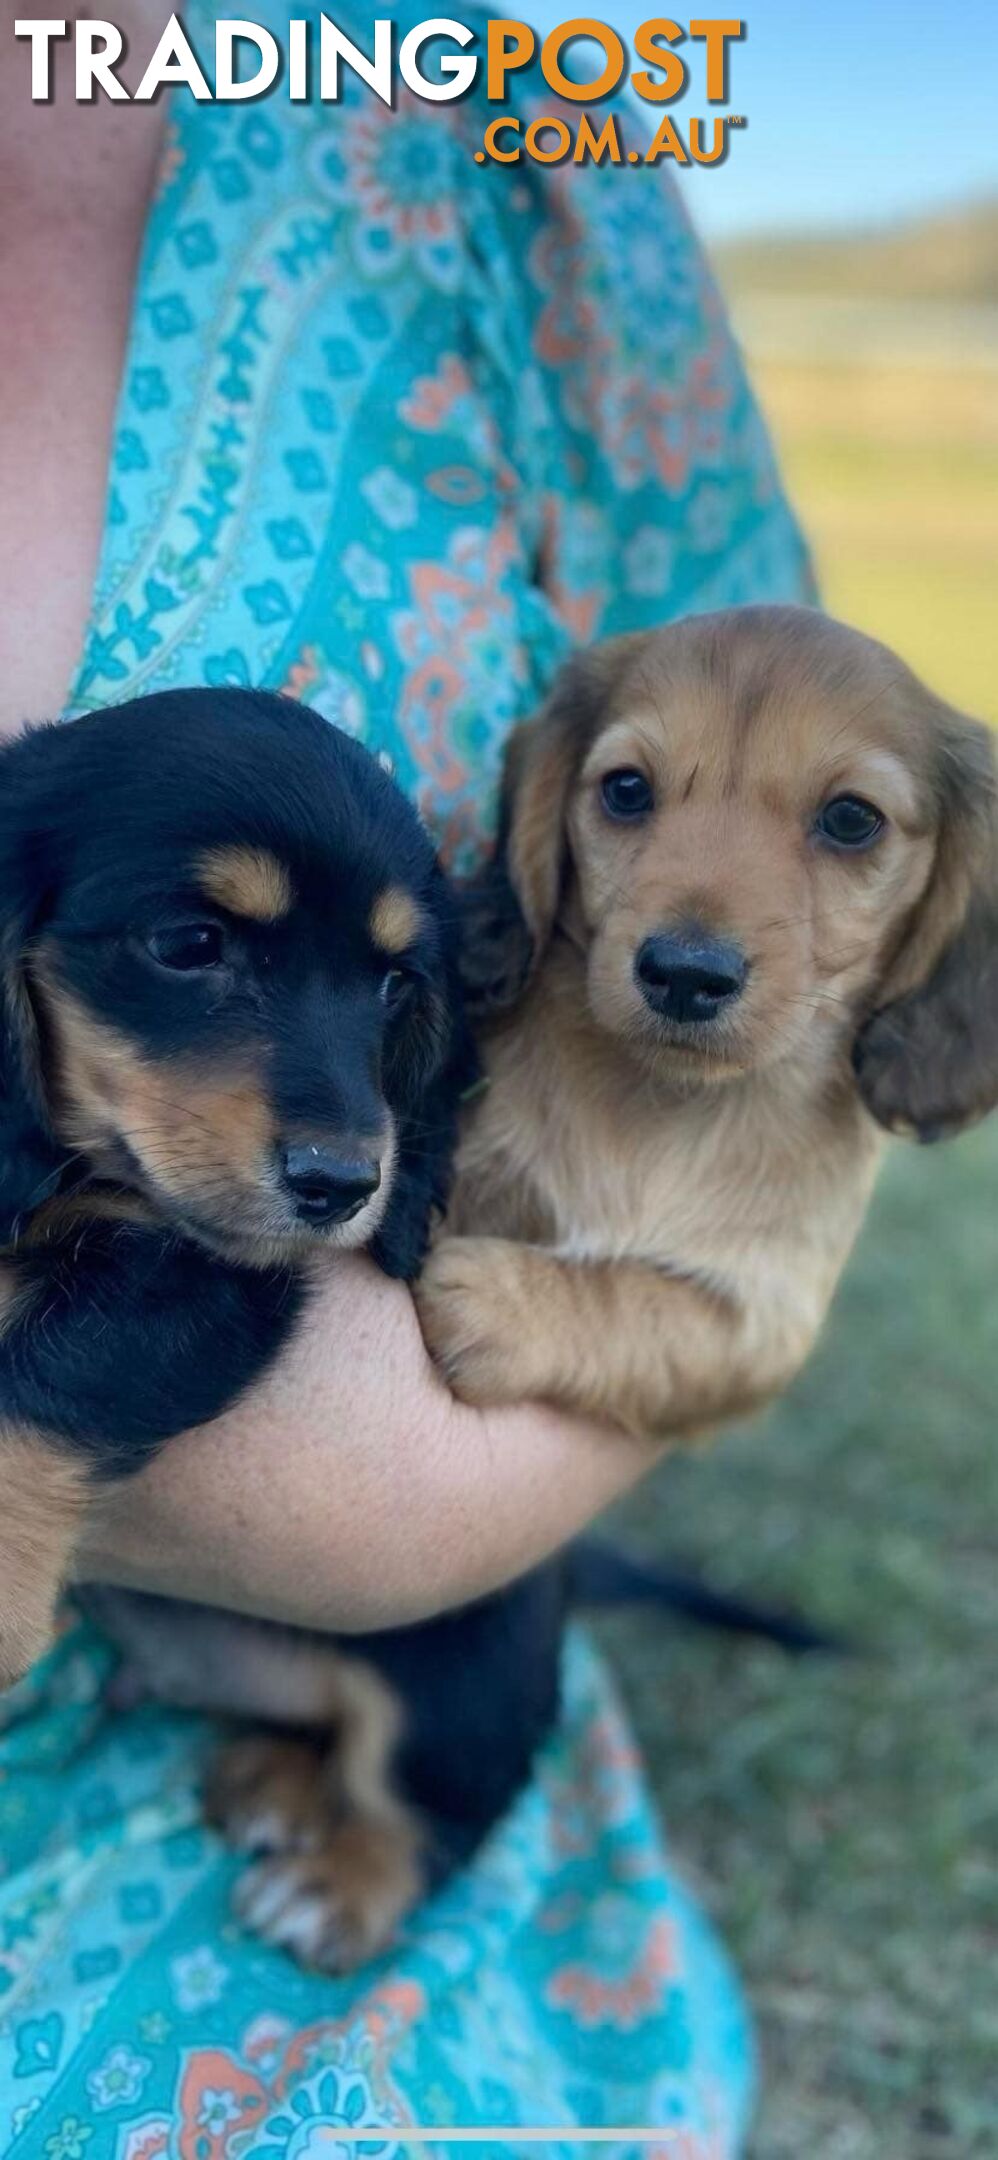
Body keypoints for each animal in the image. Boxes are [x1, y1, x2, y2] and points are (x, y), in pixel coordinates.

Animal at [414, 604, 998, 1434]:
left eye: (852, 818)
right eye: (626, 789)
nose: (686, 976)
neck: (666, 1108)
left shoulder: (763, 1321)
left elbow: (644, 1304)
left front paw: (498, 1302)